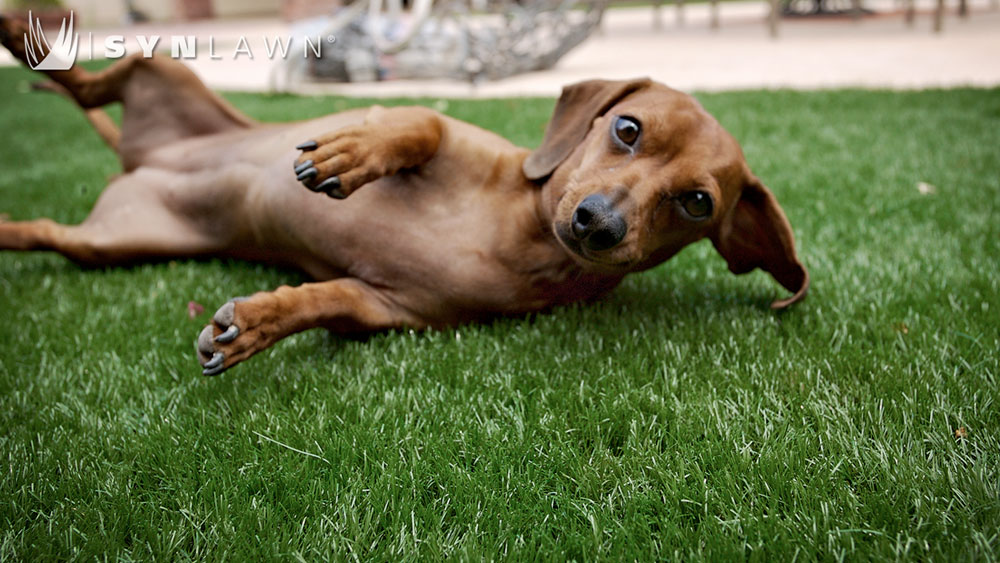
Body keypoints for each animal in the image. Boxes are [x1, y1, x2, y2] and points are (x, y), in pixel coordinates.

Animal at [0, 14, 808, 374]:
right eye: (628, 127)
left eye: (697, 203)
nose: (598, 224)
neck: (517, 232)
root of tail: (143, 158)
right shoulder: (447, 133)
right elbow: (417, 123)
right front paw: (353, 152)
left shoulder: (384, 307)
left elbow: (326, 299)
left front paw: (258, 322)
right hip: (166, 72)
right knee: (88, 75)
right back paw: (21, 29)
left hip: (109, 244)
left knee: (44, 228)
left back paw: (10, 225)